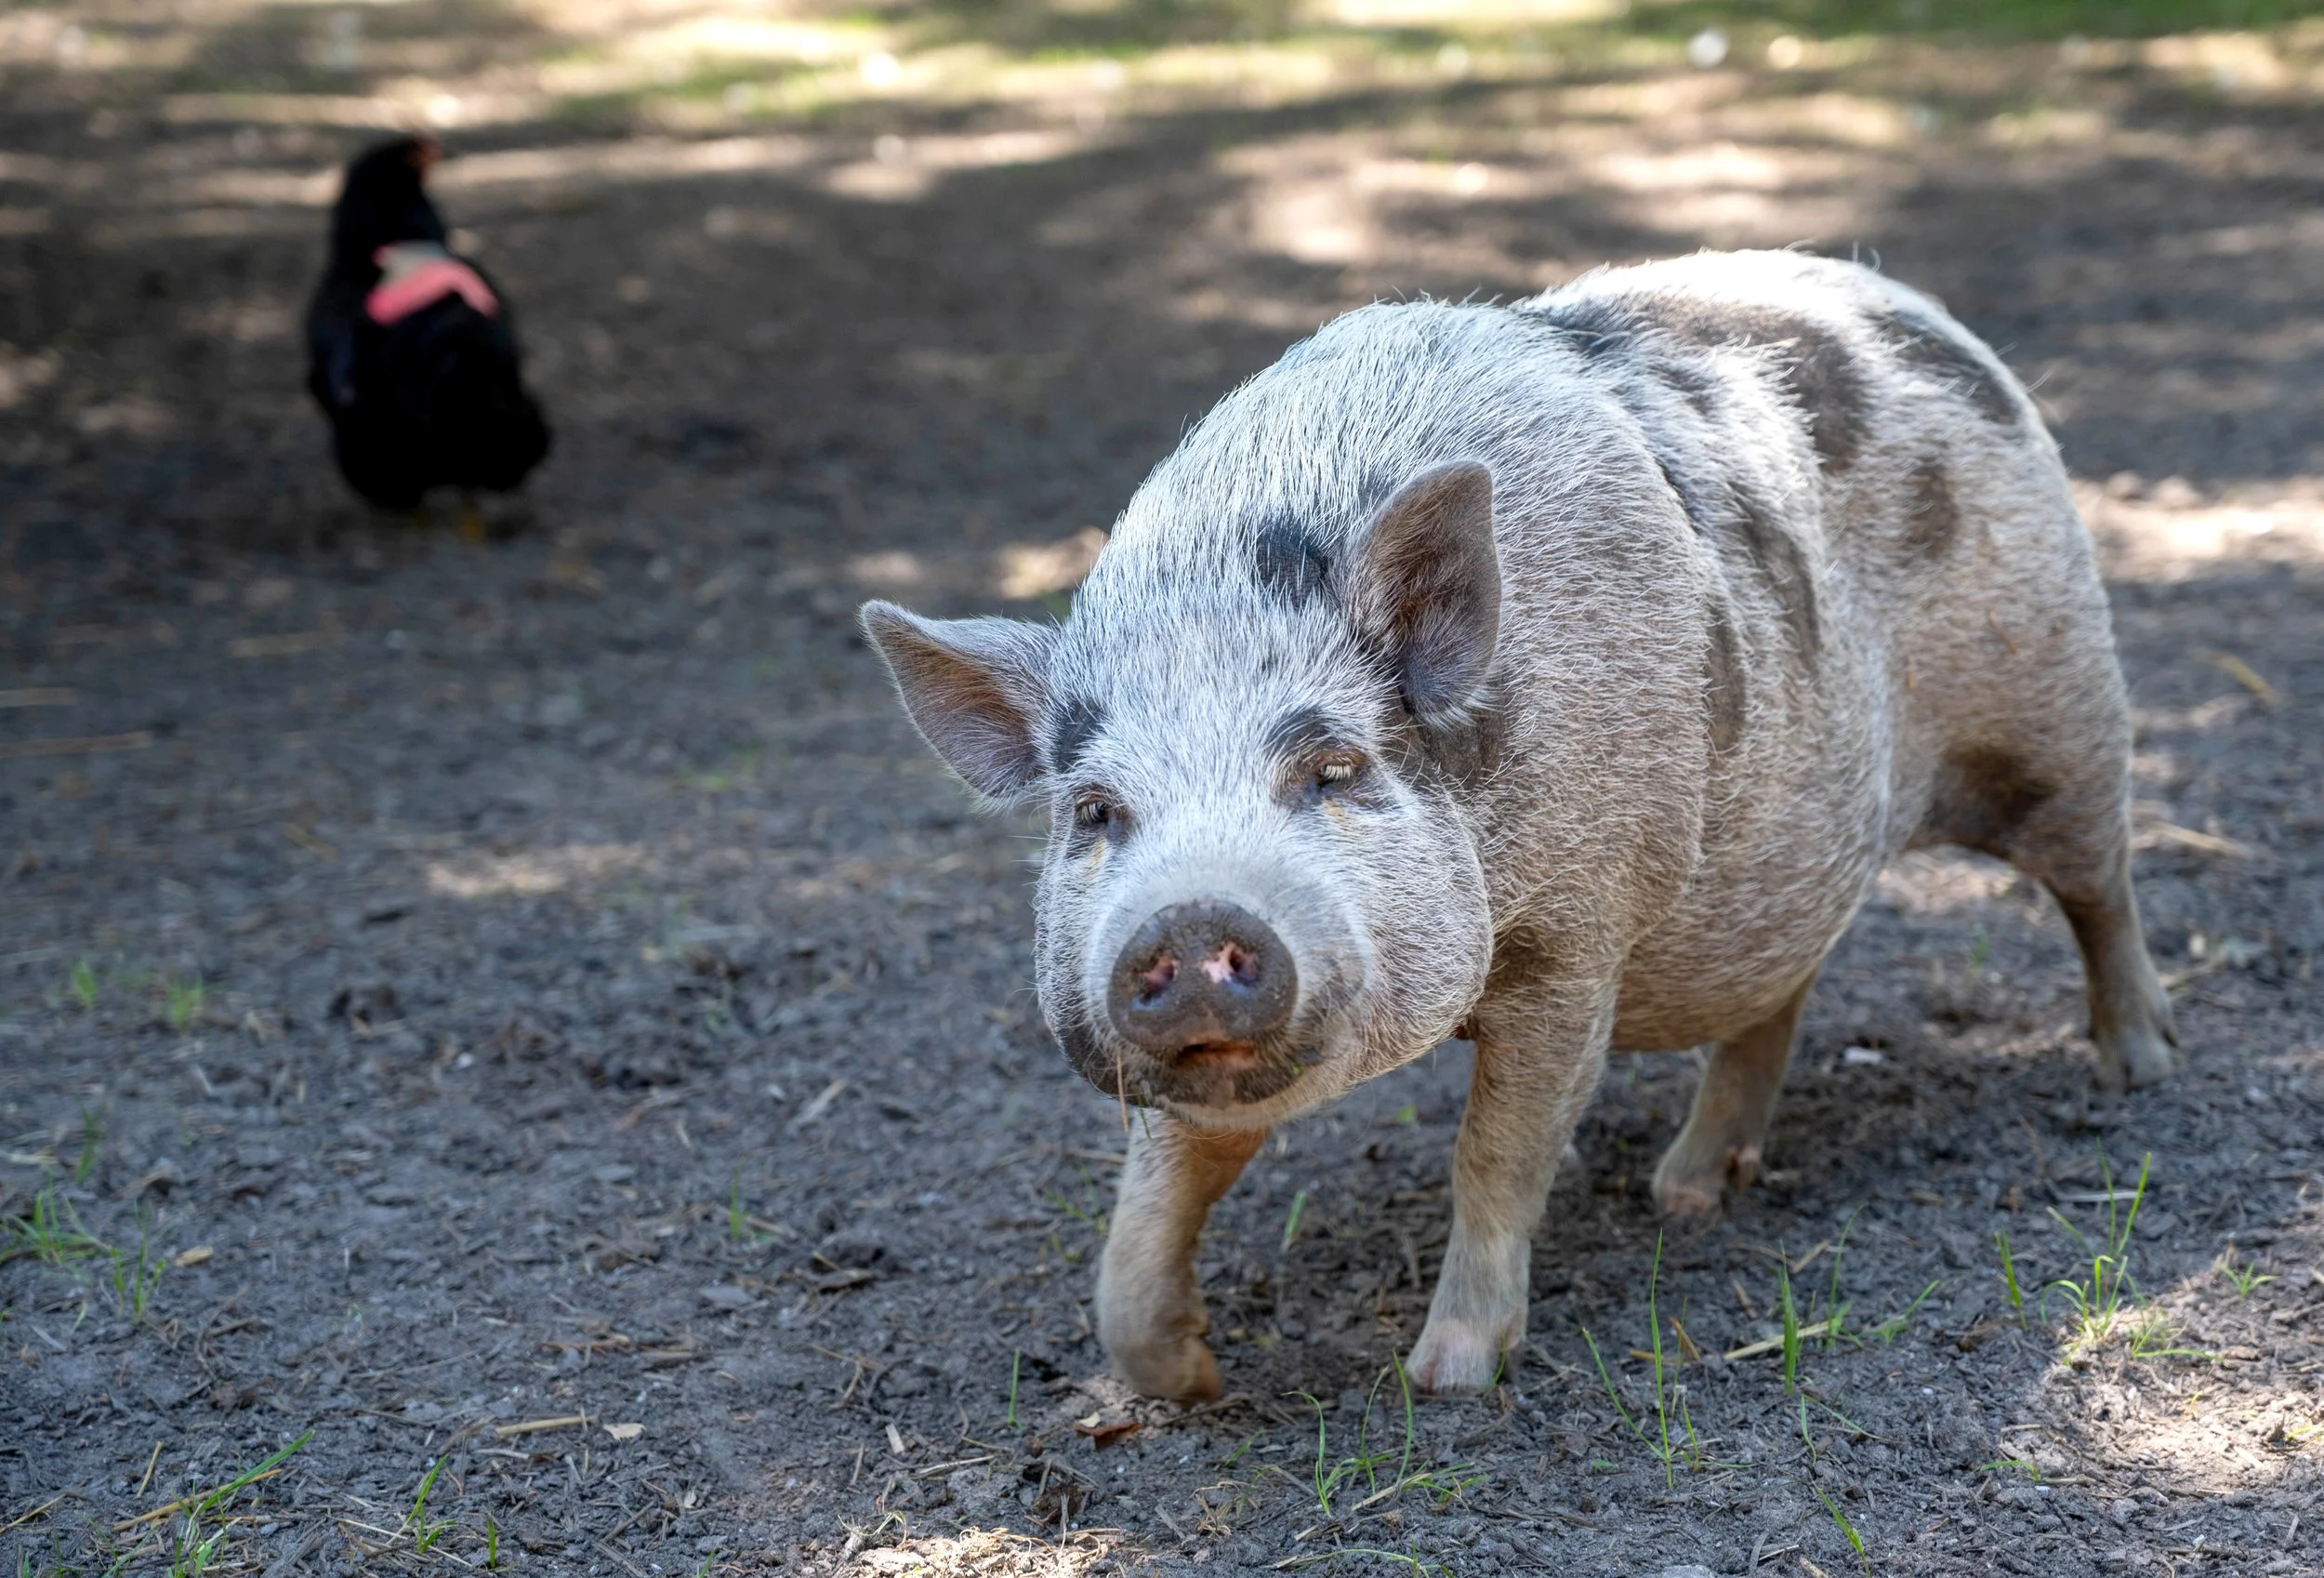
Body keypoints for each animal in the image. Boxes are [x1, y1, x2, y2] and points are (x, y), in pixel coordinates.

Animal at [861, 250, 2176, 1400]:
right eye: (1095, 810)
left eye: (1330, 768)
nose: (1186, 921)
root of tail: (1915, 306)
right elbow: (1149, 1206)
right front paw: (1182, 1383)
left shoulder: (1577, 942)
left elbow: (1497, 1149)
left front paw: (1445, 1378)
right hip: (1784, 850)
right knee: (1779, 990)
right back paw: (1684, 1192)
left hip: (2055, 701)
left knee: (2101, 880)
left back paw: (2137, 1068)